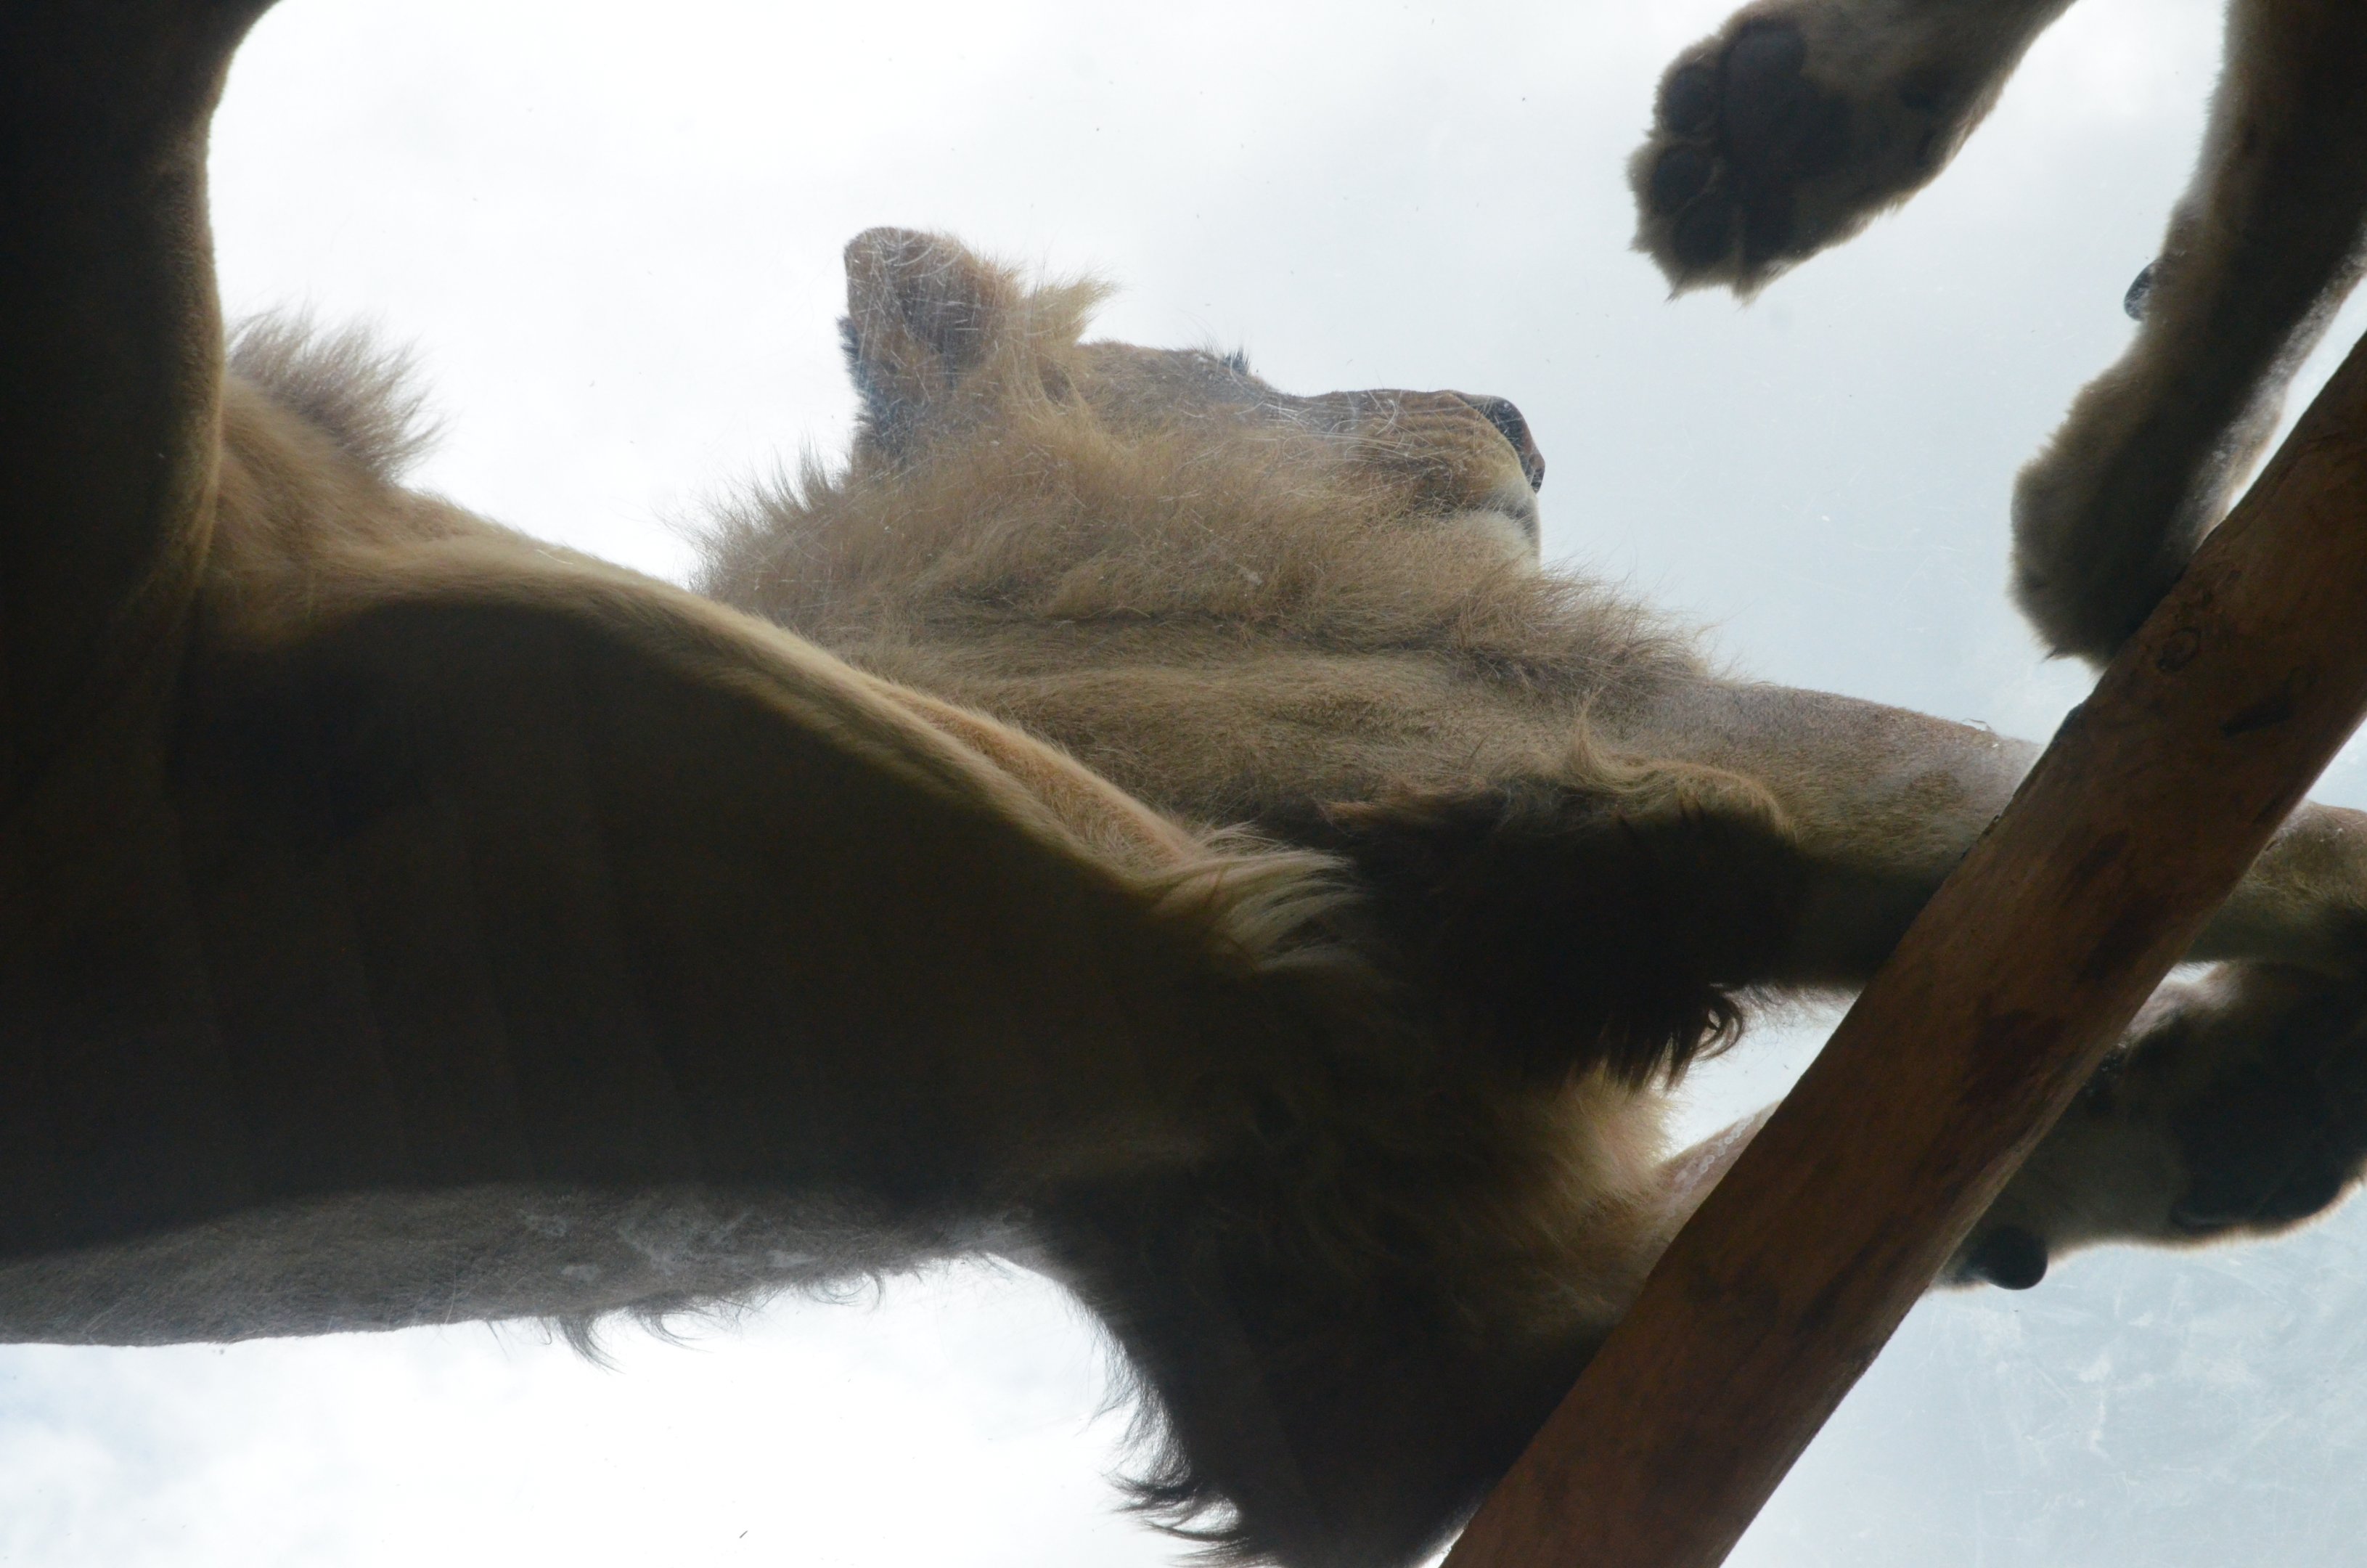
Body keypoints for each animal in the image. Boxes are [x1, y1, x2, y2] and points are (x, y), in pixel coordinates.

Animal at [8, 5, 2367, 1568]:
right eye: (1242, 371)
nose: (1522, 412)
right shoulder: (1505, 743)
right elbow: (2080, 809)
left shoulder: (1385, 1310)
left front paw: (2221, 1106)